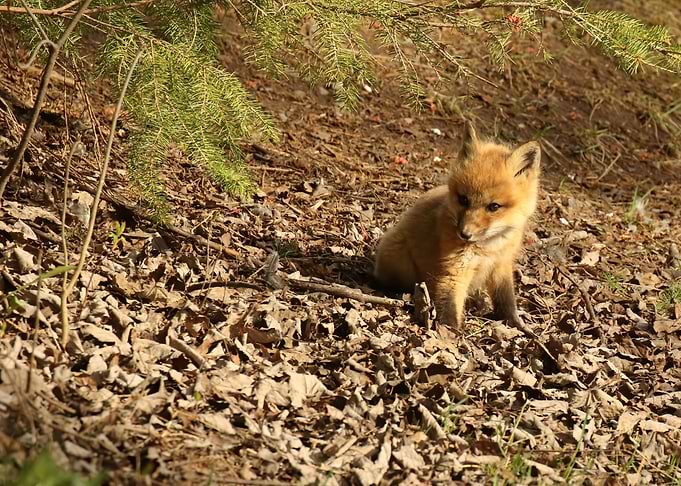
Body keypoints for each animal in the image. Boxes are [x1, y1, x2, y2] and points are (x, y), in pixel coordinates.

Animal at [373, 122, 541, 328]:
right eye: (463, 199)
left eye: (494, 206)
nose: (464, 234)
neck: (489, 248)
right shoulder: (455, 270)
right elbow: (450, 307)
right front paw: (448, 333)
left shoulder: (501, 265)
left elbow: (506, 301)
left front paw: (517, 325)